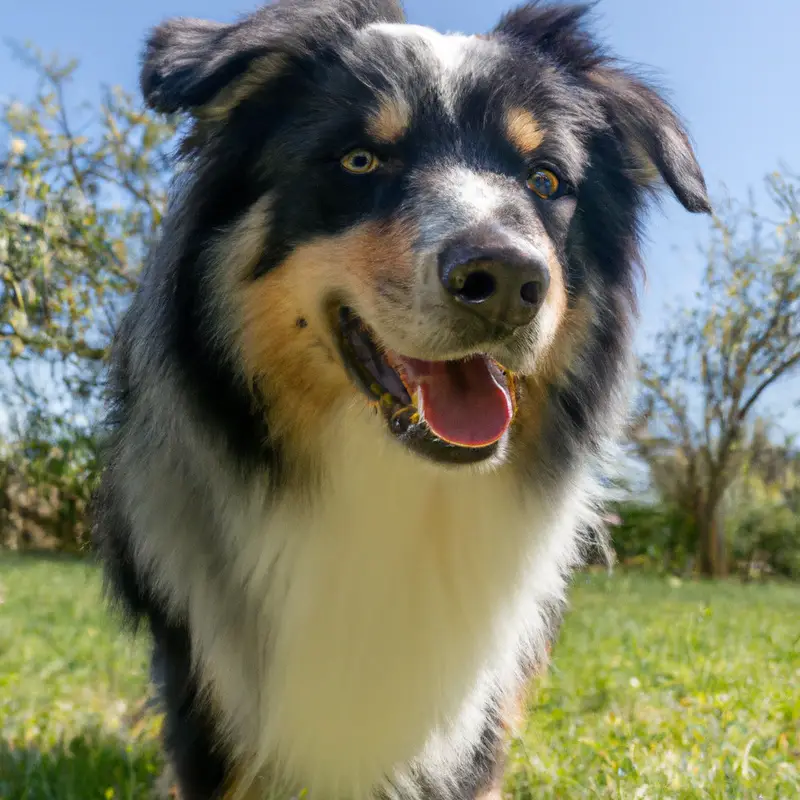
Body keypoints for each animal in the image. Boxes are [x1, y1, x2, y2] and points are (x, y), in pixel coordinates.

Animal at [90, 3, 708, 796]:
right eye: (360, 160)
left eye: (545, 180)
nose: (507, 280)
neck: (396, 483)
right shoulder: (208, 688)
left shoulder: (477, 713)